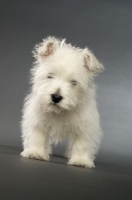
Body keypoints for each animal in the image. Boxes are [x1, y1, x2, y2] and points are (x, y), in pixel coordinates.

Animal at [20, 36, 104, 168]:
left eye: (73, 82)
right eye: (50, 75)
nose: (56, 97)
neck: (60, 111)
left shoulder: (86, 124)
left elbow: (82, 143)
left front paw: (80, 160)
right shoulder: (37, 118)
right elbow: (37, 136)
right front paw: (35, 152)